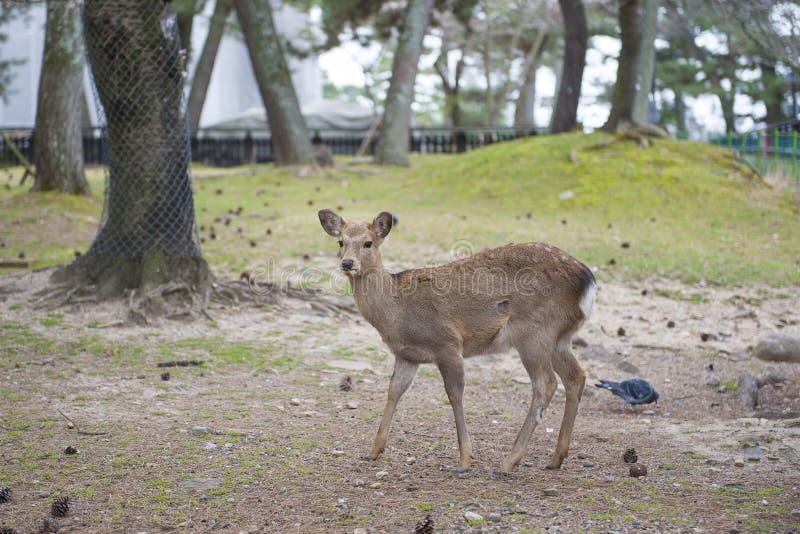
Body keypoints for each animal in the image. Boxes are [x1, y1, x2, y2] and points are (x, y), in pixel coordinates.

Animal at [318, 209, 596, 472]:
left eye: (368, 243)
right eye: (340, 241)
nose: (347, 263)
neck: (396, 311)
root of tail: (588, 281)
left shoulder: (447, 343)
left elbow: (454, 393)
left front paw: (464, 459)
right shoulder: (406, 354)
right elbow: (394, 390)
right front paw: (374, 450)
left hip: (533, 331)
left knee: (546, 383)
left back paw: (509, 461)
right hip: (559, 337)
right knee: (576, 376)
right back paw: (556, 458)